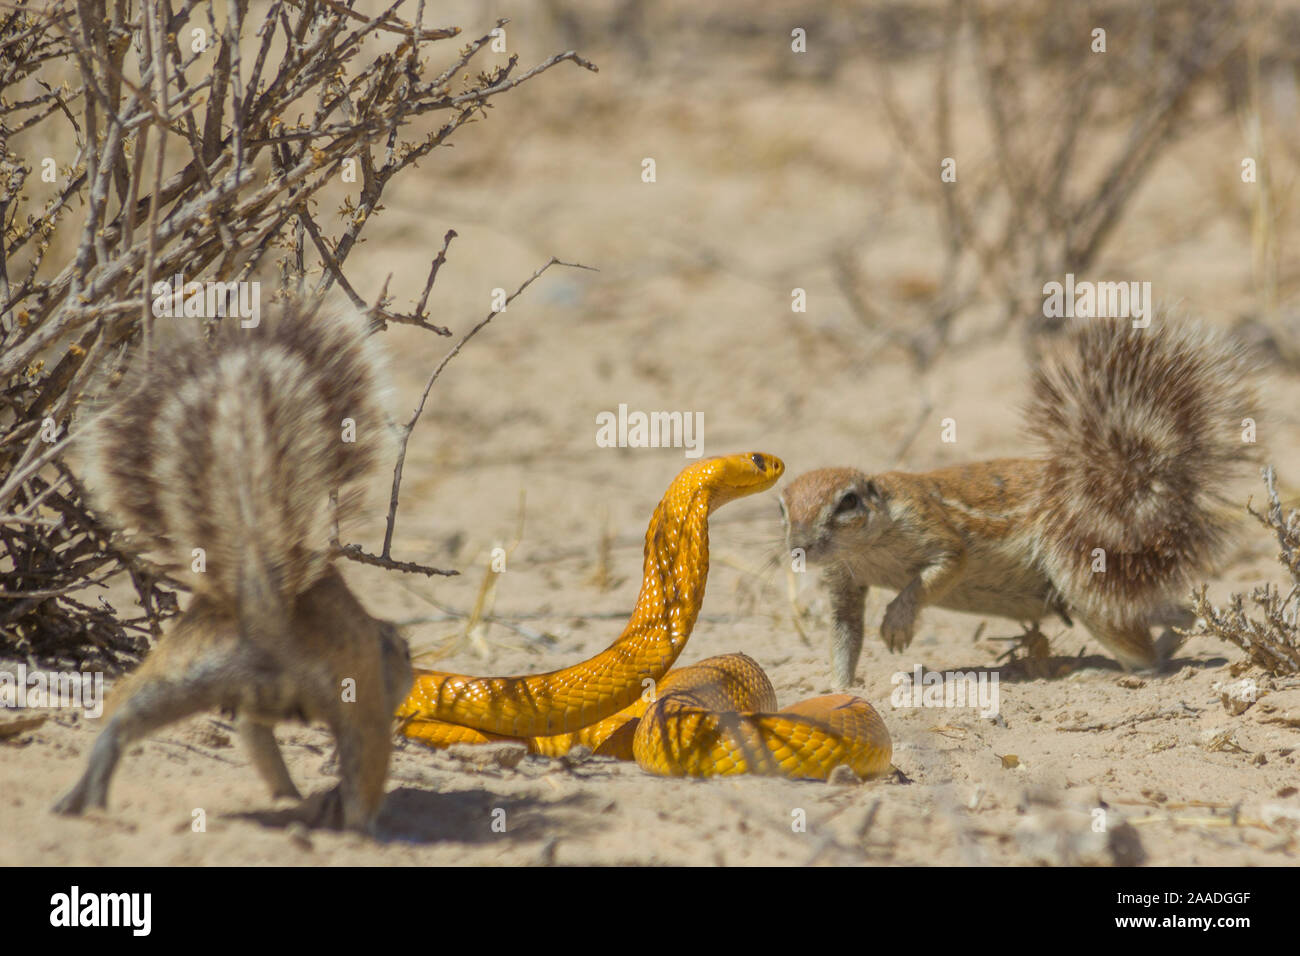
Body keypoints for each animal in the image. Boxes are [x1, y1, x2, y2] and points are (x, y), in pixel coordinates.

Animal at [53, 303, 408, 832]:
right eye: (404, 650)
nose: (409, 675)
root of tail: (263, 608)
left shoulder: (250, 709)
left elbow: (261, 747)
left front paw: (289, 797)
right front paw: (306, 801)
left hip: (187, 670)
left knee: (121, 717)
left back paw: (82, 798)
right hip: (351, 694)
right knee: (365, 759)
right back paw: (360, 829)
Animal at [780, 316, 1258, 686]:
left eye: (847, 502)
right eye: (781, 508)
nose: (800, 546)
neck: (867, 549)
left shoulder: (928, 525)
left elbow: (939, 569)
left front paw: (898, 622)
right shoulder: (844, 581)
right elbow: (845, 633)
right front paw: (839, 687)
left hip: (1083, 575)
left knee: (1138, 648)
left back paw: (1120, 670)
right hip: (1119, 580)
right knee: (1179, 611)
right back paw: (1173, 639)